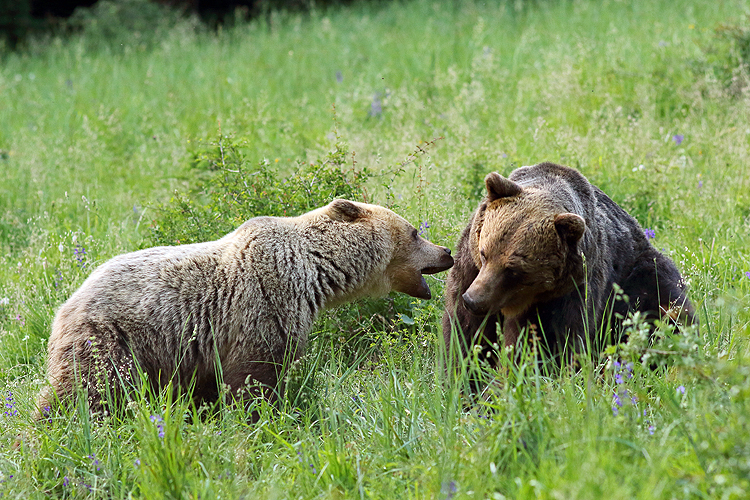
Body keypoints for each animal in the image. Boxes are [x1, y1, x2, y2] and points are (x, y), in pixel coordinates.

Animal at [38, 200, 456, 418]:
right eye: (415, 232)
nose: (447, 251)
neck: (315, 272)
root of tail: (65, 305)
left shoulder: (205, 352)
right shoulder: (264, 304)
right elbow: (256, 377)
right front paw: (261, 418)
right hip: (112, 338)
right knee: (88, 390)